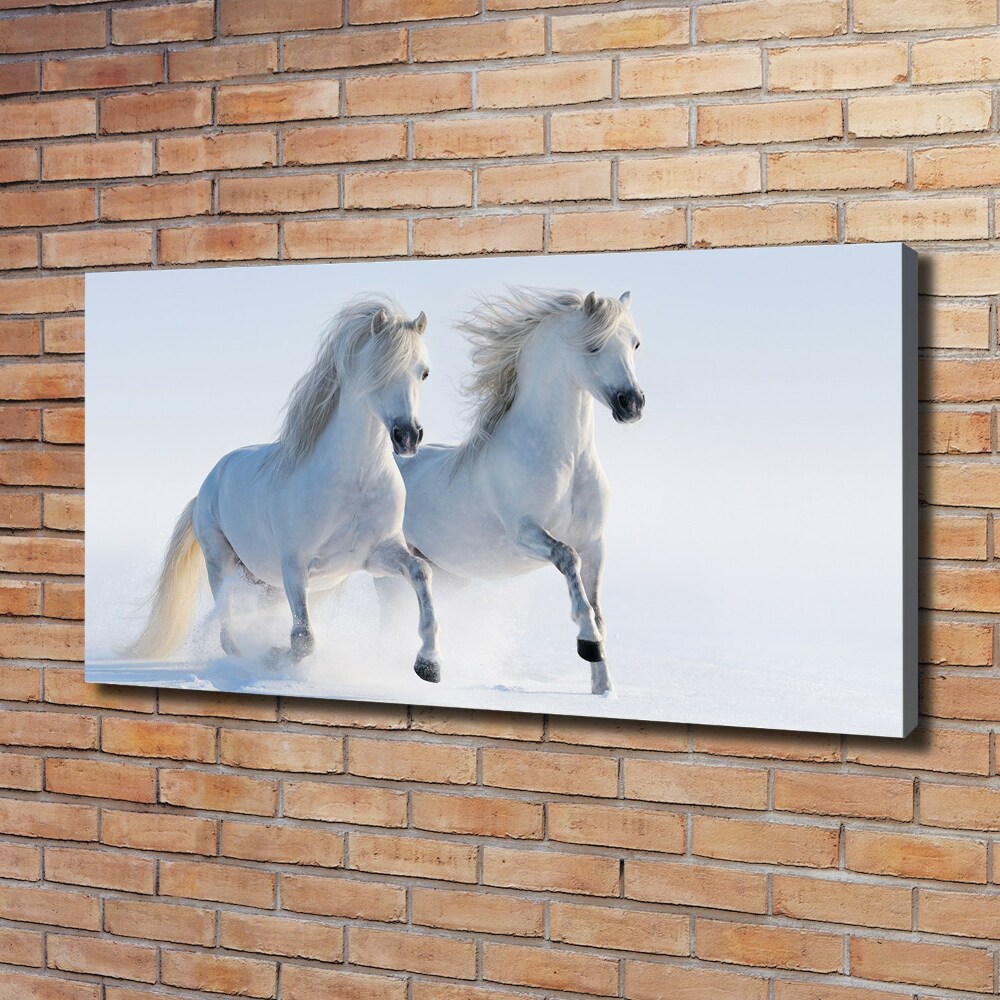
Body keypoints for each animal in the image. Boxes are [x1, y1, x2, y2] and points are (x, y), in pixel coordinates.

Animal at [127, 294, 440, 680]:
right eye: (378, 370)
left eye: (423, 372)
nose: (407, 436)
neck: (354, 483)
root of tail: (208, 484)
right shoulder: (295, 566)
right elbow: (303, 639)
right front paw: (274, 657)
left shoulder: (377, 555)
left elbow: (421, 571)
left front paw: (429, 664)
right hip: (221, 562)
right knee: (227, 629)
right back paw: (244, 660)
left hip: (264, 583)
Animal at [378, 290, 644, 696]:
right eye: (593, 346)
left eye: (635, 343)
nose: (632, 404)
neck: (566, 461)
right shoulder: (525, 534)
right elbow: (567, 560)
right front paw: (587, 644)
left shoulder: (595, 543)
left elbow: (598, 608)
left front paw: (603, 688)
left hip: (448, 575)